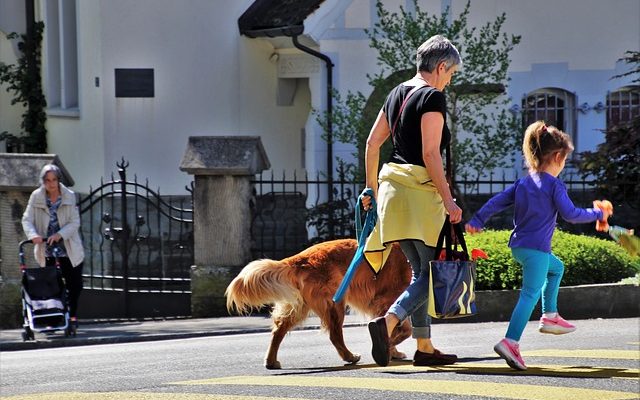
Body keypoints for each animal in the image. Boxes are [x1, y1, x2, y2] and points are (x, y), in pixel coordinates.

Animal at [228, 238, 412, 368]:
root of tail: (300, 258)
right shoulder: (387, 300)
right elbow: (402, 330)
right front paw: (389, 347)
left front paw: (391, 350)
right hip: (335, 303)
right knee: (335, 335)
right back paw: (349, 356)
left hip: (300, 306)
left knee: (278, 330)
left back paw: (271, 361)